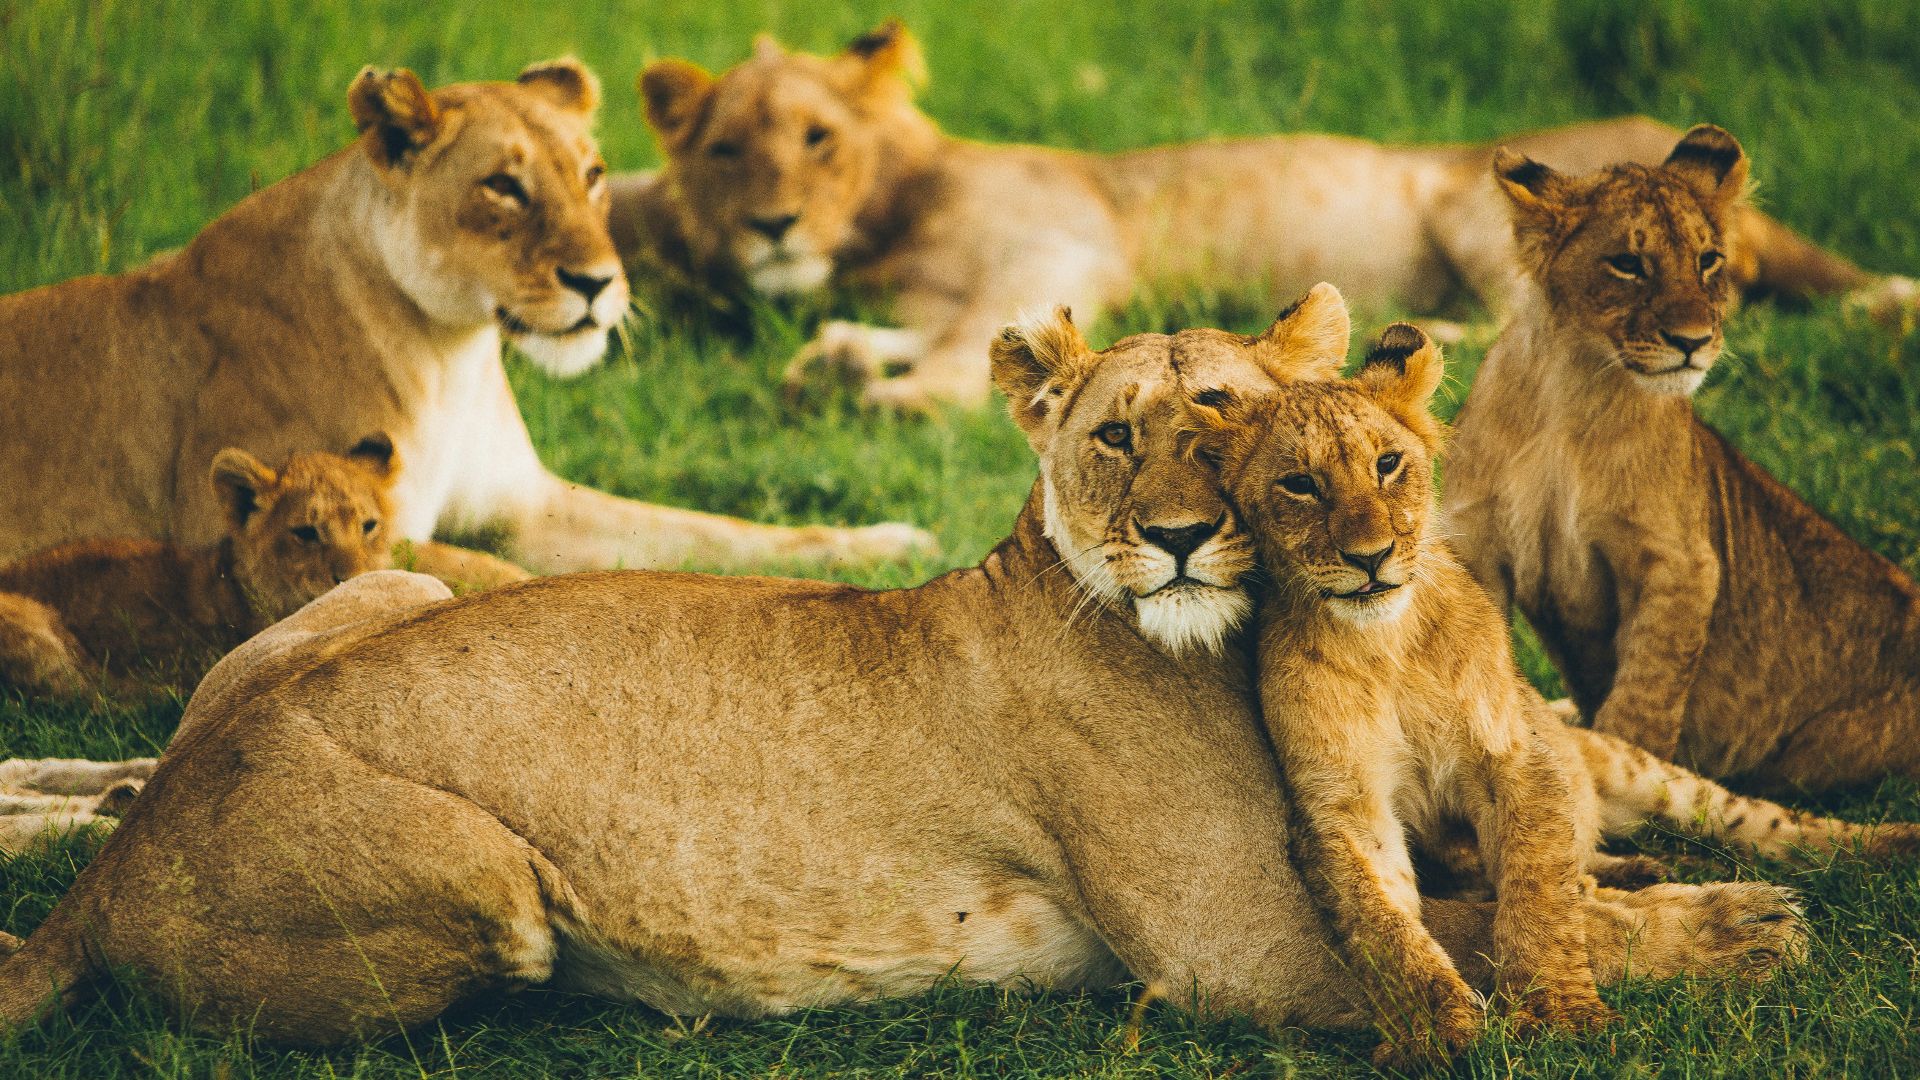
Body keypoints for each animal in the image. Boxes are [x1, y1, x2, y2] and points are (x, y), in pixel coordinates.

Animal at [0, 59, 932, 574]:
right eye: (503, 186)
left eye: (593, 174)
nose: (598, 283)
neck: (451, 354)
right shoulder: (291, 529)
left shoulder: (530, 506)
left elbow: (716, 531)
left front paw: (887, 544)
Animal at [0, 294, 1801, 1048]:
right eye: (1115, 438)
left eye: (1227, 422)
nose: (1177, 539)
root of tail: (120, 866)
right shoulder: (1238, 954)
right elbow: (1473, 935)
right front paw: (1738, 928)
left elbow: (1523, 876)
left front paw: (1662, 878)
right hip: (491, 885)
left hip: (375, 578)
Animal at [613, 20, 1919, 412]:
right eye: (726, 150)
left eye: (817, 140)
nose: (772, 226)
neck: (885, 225)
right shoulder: (949, 290)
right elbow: (926, 334)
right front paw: (836, 357)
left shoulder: (1057, 246)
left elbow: (959, 357)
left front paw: (879, 395)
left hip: (1472, 202)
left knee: (1529, 325)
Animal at [1194, 309, 1916, 1066]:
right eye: (1299, 484)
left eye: (1387, 464)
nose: (1371, 558)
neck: (1381, 643)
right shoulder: (1341, 807)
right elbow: (1385, 929)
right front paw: (1435, 1033)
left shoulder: (1516, 754)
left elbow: (1538, 891)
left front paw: (1558, 1012)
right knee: (1596, 866)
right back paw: (1645, 871)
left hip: (1636, 767)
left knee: (1769, 824)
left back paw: (1887, 846)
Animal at [1443, 124, 1920, 794]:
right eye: (1628, 263)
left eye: (1708, 260)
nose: (1693, 342)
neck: (1571, 390)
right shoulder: (1476, 543)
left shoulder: (1680, 562)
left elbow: (1645, 696)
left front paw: (1627, 780)